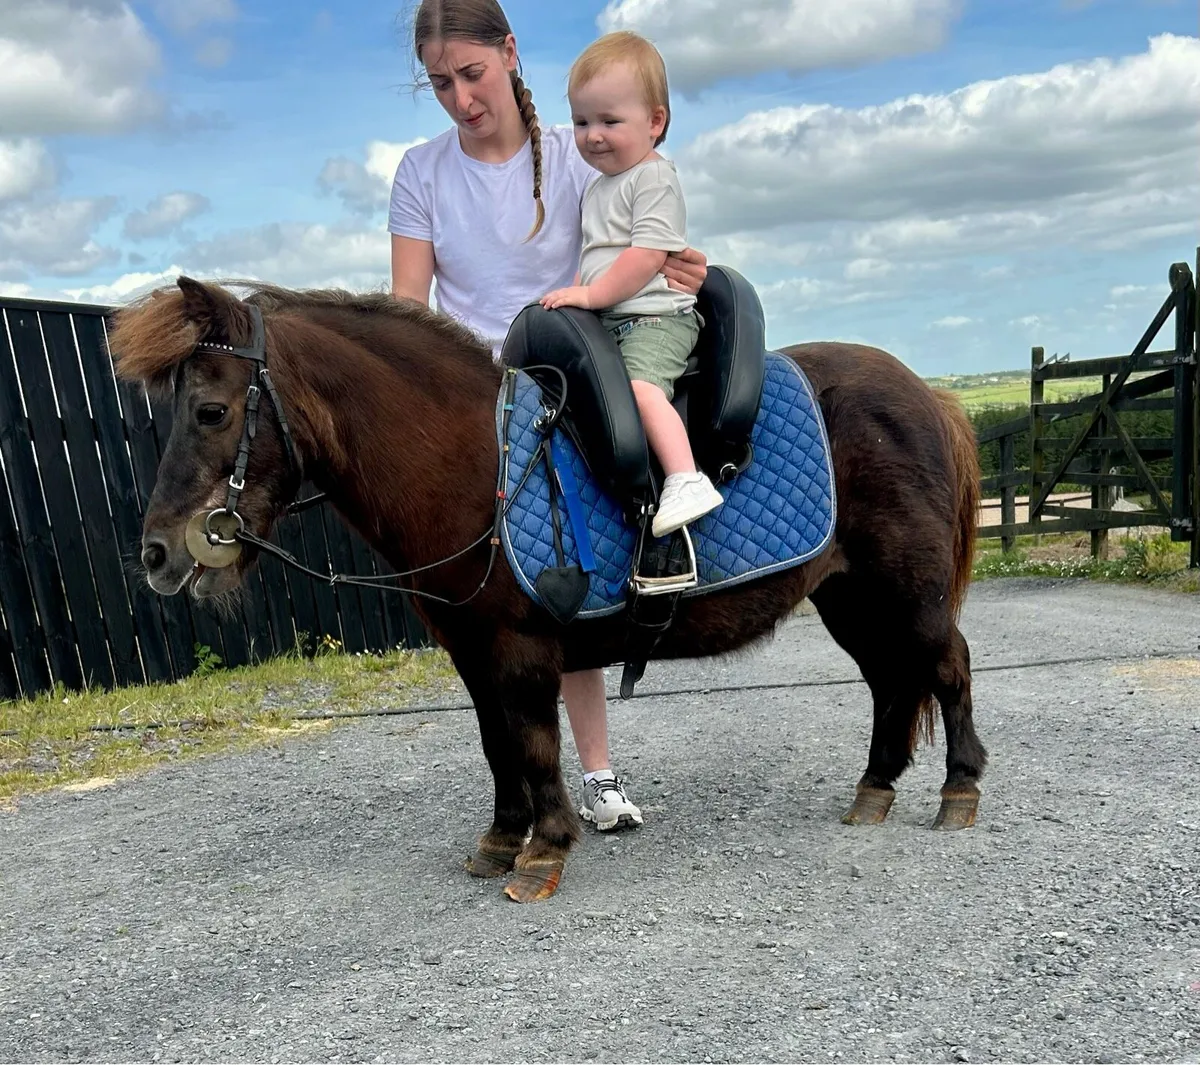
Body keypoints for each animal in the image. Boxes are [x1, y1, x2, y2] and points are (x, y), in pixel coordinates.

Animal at [110, 276, 987, 904]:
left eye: (211, 410)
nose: (155, 553)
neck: (478, 463)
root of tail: (927, 392)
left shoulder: (521, 647)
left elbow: (533, 741)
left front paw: (543, 849)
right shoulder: (470, 651)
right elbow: (498, 745)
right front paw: (503, 838)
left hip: (906, 591)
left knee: (947, 667)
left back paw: (958, 789)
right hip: (850, 597)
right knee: (890, 681)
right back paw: (875, 789)